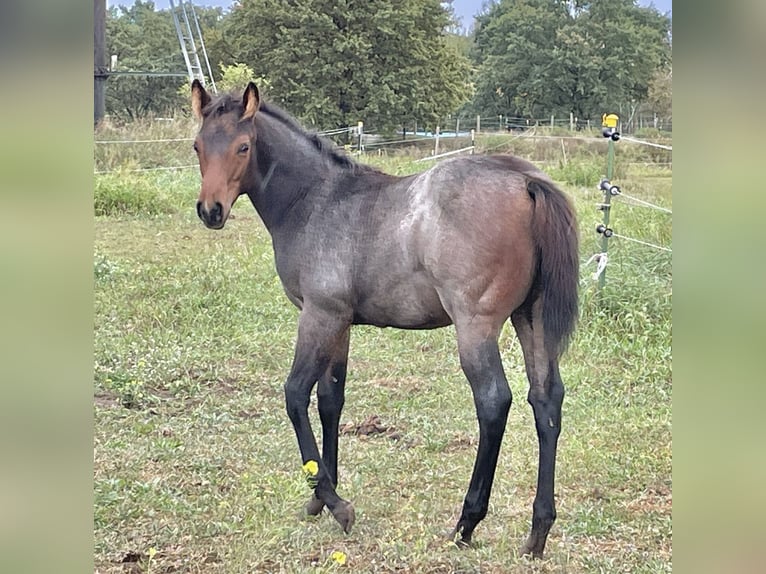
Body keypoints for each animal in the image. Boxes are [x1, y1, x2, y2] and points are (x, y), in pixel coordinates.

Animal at [189, 79, 580, 560]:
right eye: (197, 145)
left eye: (243, 146)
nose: (211, 210)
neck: (316, 202)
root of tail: (525, 181)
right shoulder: (340, 323)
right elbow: (331, 401)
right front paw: (319, 498)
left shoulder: (319, 315)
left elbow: (296, 395)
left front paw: (335, 503)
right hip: (532, 318)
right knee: (546, 401)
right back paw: (537, 532)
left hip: (476, 325)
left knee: (493, 402)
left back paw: (466, 523)